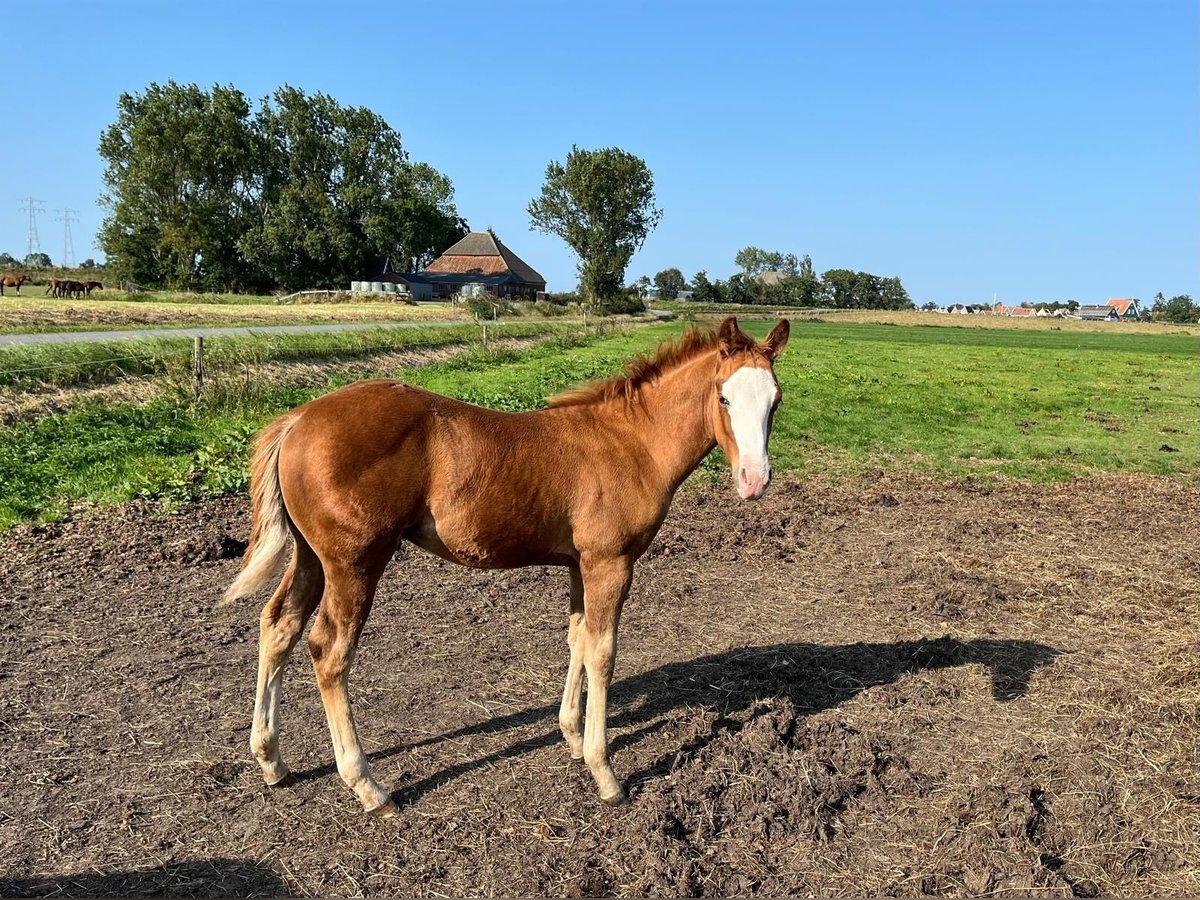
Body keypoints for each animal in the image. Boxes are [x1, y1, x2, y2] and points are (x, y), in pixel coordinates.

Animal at [225, 314, 792, 816]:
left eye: (776, 400)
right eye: (723, 397)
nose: (754, 481)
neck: (630, 443)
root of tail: (297, 419)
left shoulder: (579, 564)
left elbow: (577, 639)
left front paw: (570, 736)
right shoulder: (610, 563)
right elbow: (603, 653)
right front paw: (604, 772)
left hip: (311, 557)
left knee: (278, 626)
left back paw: (271, 761)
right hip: (355, 563)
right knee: (329, 650)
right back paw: (369, 788)